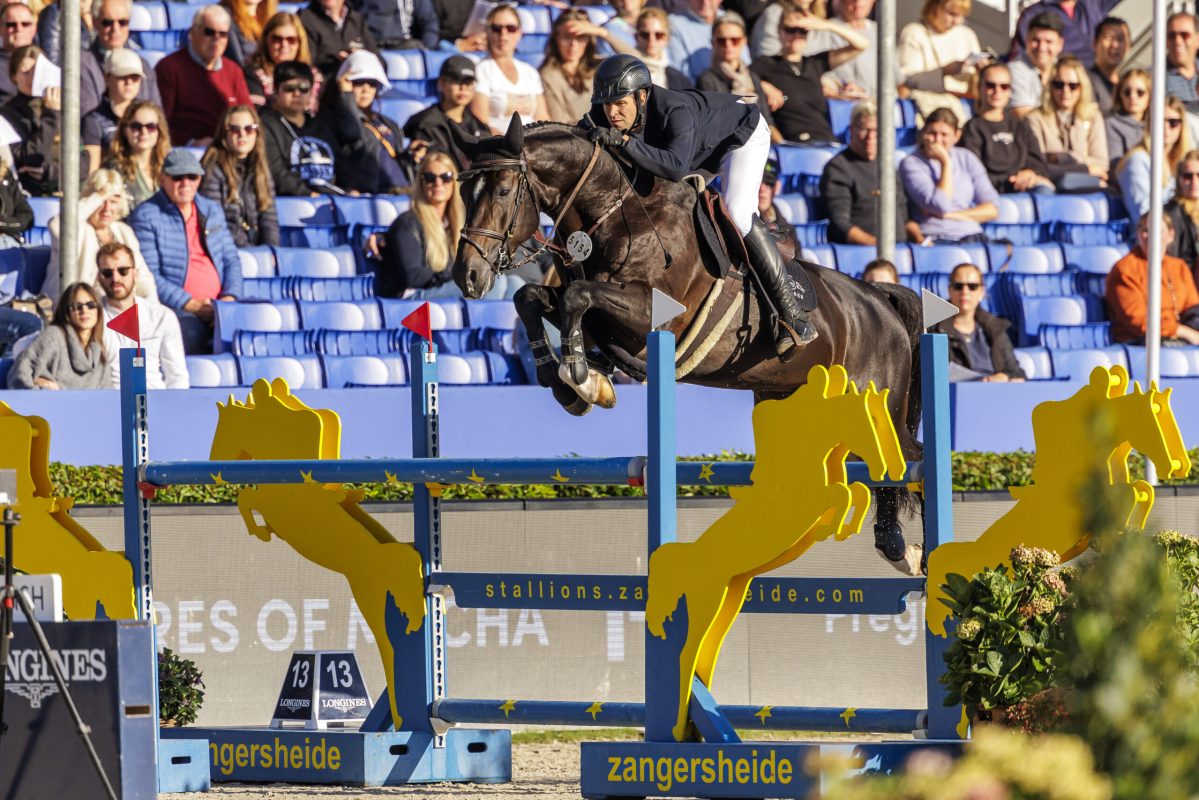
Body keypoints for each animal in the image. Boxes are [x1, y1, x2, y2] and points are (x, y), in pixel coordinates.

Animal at [210, 379, 427, 729]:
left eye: (224, 430)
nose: (214, 460)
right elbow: (247, 500)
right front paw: (262, 531)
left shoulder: (273, 506)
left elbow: (246, 500)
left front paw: (260, 532)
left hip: (367, 596)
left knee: (388, 647)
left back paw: (399, 715)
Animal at [451, 116, 924, 572]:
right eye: (462, 193)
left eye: (504, 190)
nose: (466, 276)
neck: (616, 212)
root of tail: (879, 299)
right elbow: (532, 298)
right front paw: (567, 381)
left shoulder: (651, 313)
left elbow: (576, 298)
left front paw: (583, 379)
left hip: (874, 403)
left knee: (899, 458)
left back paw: (901, 549)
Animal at [645, 365, 907, 741]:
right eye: (870, 423)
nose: (890, 471)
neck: (803, 452)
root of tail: (690, 557)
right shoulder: (810, 501)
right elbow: (844, 493)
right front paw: (835, 529)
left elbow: (854, 491)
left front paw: (841, 528)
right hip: (708, 598)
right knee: (686, 653)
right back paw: (678, 727)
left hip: (732, 593)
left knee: (705, 652)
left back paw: (692, 724)